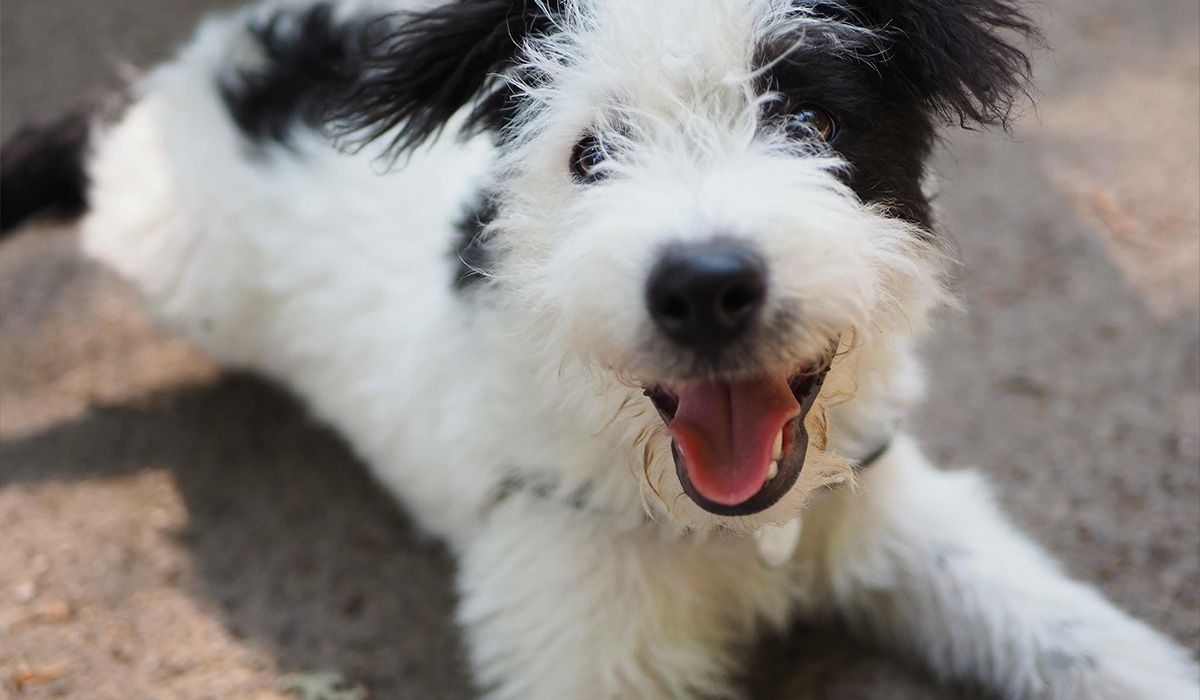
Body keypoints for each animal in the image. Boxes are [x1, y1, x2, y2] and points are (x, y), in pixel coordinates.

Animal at [2, 1, 1200, 700]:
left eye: (811, 125)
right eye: (590, 153)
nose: (705, 287)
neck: (733, 533)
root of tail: (211, 72)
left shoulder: (891, 507)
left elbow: (1066, 631)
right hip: (168, 249)